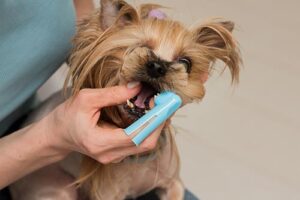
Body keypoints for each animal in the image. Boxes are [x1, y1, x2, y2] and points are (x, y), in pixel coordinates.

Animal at [9, 0, 241, 200]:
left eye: (186, 62)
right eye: (137, 48)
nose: (157, 66)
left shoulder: (173, 183)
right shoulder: (108, 195)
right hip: (56, 190)